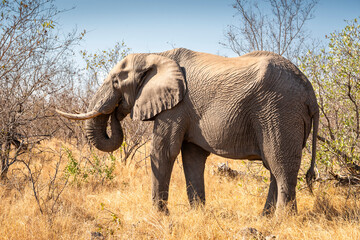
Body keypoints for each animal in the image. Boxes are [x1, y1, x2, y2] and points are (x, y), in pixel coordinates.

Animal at [57, 47, 320, 215]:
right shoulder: (186, 110)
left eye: (115, 82)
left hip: (280, 112)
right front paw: (198, 214)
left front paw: (159, 215)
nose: (116, 111)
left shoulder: (176, 107)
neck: (156, 54)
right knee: (275, 167)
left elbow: (164, 152)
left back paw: (282, 221)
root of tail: (311, 93)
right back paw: (265, 217)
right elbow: (192, 157)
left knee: (281, 165)